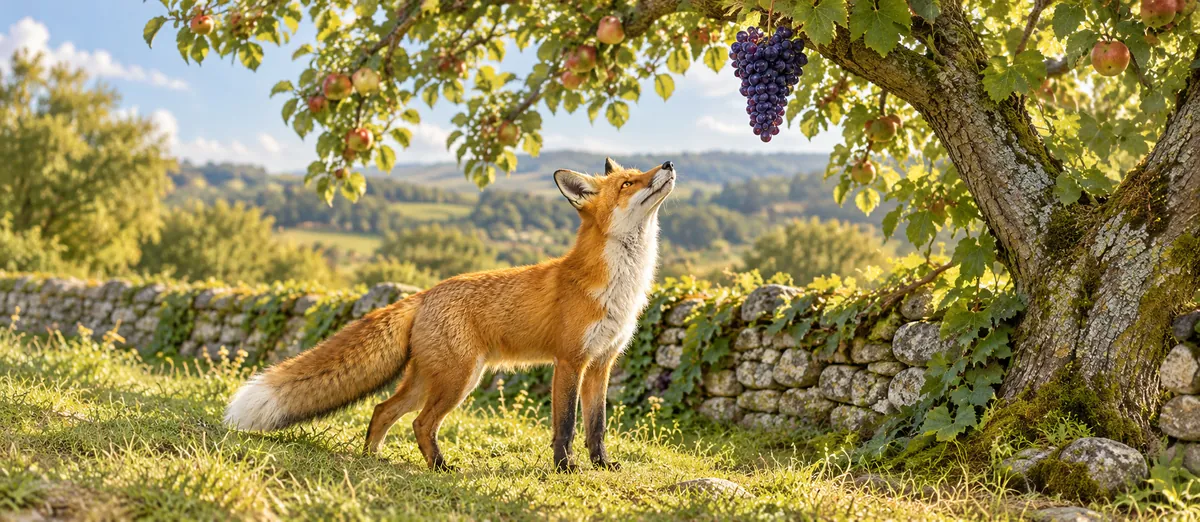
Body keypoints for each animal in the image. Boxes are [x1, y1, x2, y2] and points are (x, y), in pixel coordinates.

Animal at [224, 157, 676, 471]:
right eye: (627, 183)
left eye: (639, 172)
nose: (669, 164)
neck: (615, 286)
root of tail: (424, 293)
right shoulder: (569, 361)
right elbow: (565, 427)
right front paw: (565, 469)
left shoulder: (601, 363)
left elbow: (597, 427)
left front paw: (602, 466)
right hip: (458, 380)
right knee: (420, 424)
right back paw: (439, 466)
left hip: (432, 379)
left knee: (382, 409)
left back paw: (372, 458)